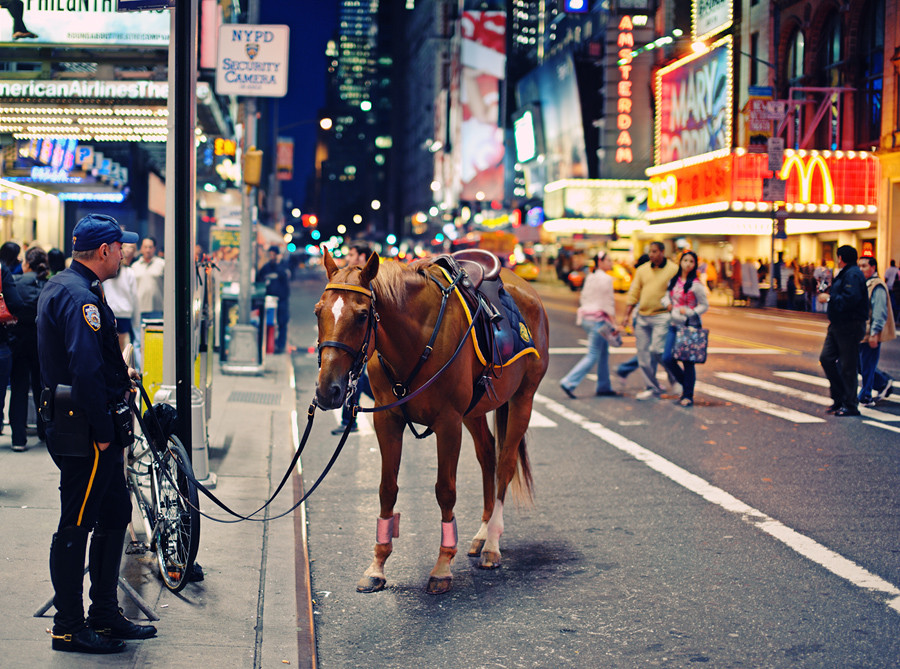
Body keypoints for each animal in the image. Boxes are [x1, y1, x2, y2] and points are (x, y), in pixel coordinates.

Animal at [320, 248, 552, 592]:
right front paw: (378, 565)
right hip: (476, 410)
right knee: (488, 455)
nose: (328, 390)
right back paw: (482, 534)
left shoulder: (448, 423)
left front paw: (443, 565)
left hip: (523, 399)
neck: (414, 340)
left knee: (506, 464)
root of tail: (529, 290)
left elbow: (446, 490)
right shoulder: (387, 420)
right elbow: (387, 489)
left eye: (362, 315)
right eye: (318, 311)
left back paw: (492, 543)